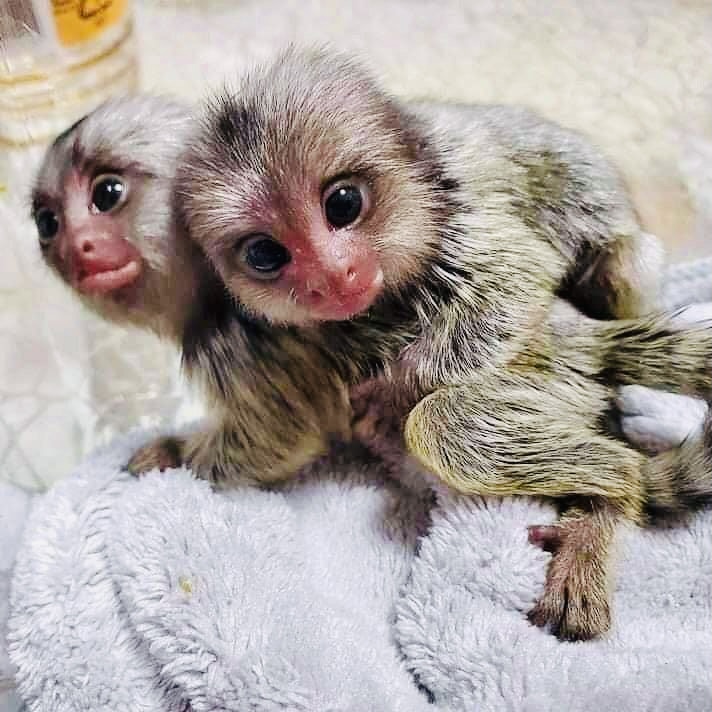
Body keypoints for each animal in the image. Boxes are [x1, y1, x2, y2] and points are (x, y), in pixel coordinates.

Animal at [31, 84, 710, 642]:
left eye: (108, 195)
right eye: (47, 222)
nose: (76, 247)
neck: (207, 293)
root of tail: (582, 336)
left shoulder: (247, 348)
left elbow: (275, 440)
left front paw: (172, 452)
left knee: (450, 429)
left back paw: (605, 502)